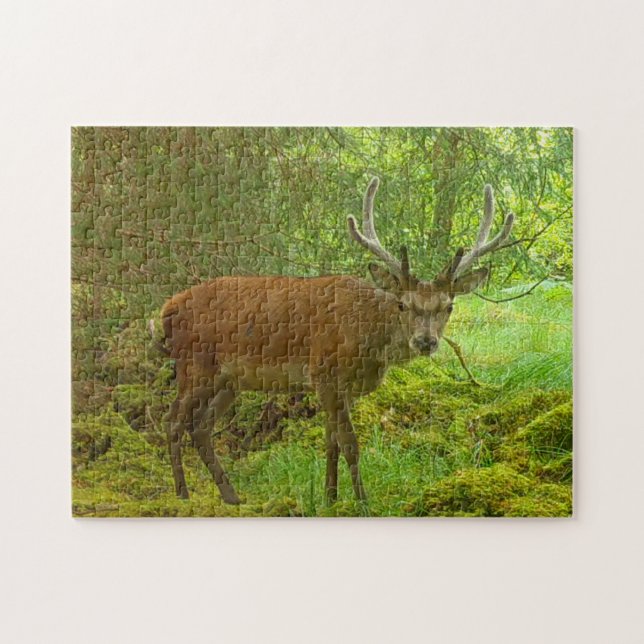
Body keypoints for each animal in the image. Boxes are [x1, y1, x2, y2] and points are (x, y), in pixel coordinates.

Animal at [160, 177, 514, 505]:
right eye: (403, 304)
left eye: (449, 306)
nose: (425, 341)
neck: (367, 343)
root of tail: (167, 308)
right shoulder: (325, 372)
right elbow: (350, 443)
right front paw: (362, 501)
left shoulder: (346, 389)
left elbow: (331, 441)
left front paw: (329, 497)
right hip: (196, 364)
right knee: (174, 420)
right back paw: (182, 494)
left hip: (229, 380)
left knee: (201, 426)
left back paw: (231, 496)